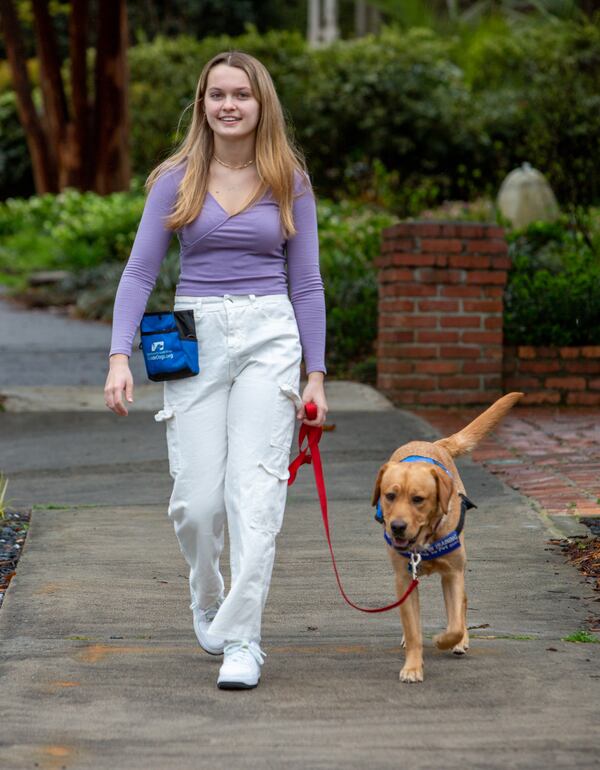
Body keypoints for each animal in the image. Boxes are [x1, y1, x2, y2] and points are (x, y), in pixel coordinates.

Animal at [372, 392, 524, 680]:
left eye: (418, 499)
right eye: (390, 495)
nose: (396, 527)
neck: (424, 541)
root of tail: (433, 443)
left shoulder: (453, 574)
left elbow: (453, 624)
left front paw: (446, 640)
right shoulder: (403, 579)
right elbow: (413, 627)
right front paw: (413, 665)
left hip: (458, 567)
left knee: (462, 604)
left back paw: (461, 639)